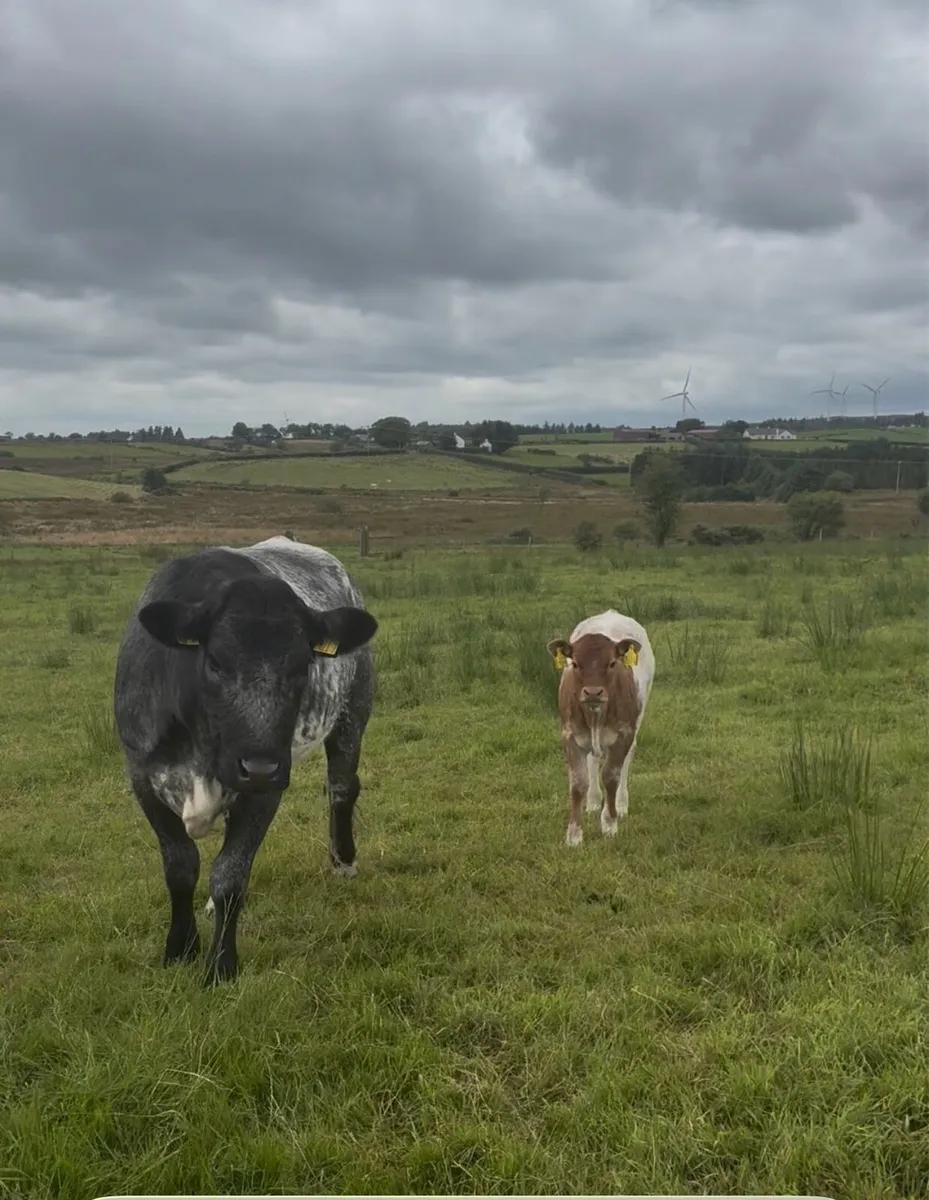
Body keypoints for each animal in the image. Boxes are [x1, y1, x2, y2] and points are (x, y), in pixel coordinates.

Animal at [113, 535, 378, 985]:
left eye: (303, 665)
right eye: (215, 663)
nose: (259, 767)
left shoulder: (263, 790)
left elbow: (230, 877)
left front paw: (221, 964)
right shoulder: (143, 777)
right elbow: (180, 866)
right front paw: (180, 947)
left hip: (352, 713)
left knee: (342, 786)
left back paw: (342, 860)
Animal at [546, 609, 655, 846]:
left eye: (612, 663)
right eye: (575, 664)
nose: (593, 692)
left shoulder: (623, 735)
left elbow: (611, 777)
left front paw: (610, 824)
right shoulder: (569, 735)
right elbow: (578, 782)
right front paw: (574, 835)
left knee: (626, 761)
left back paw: (621, 805)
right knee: (592, 759)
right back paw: (594, 801)